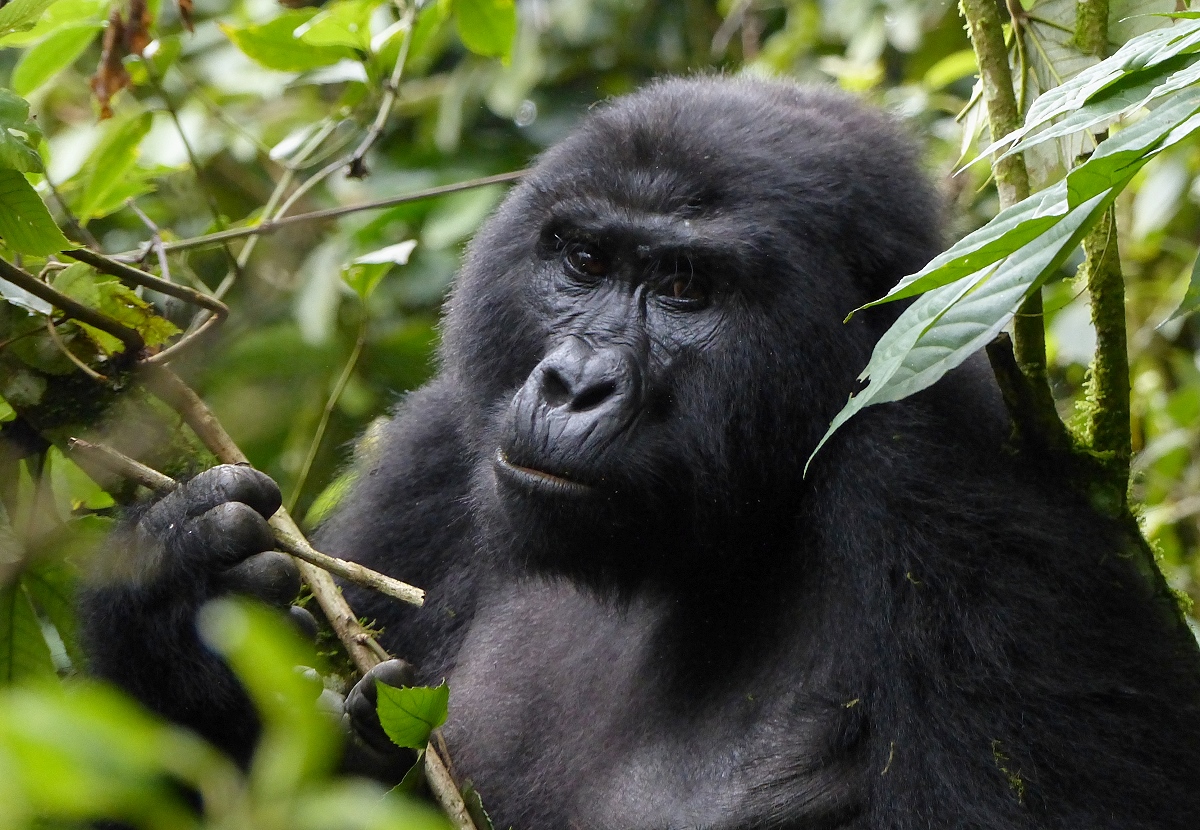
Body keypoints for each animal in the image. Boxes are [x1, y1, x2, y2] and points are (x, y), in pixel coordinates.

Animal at [82, 79, 1200, 830]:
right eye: (584, 259)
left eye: (684, 286)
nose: (576, 384)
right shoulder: (439, 448)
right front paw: (173, 606)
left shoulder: (954, 491)